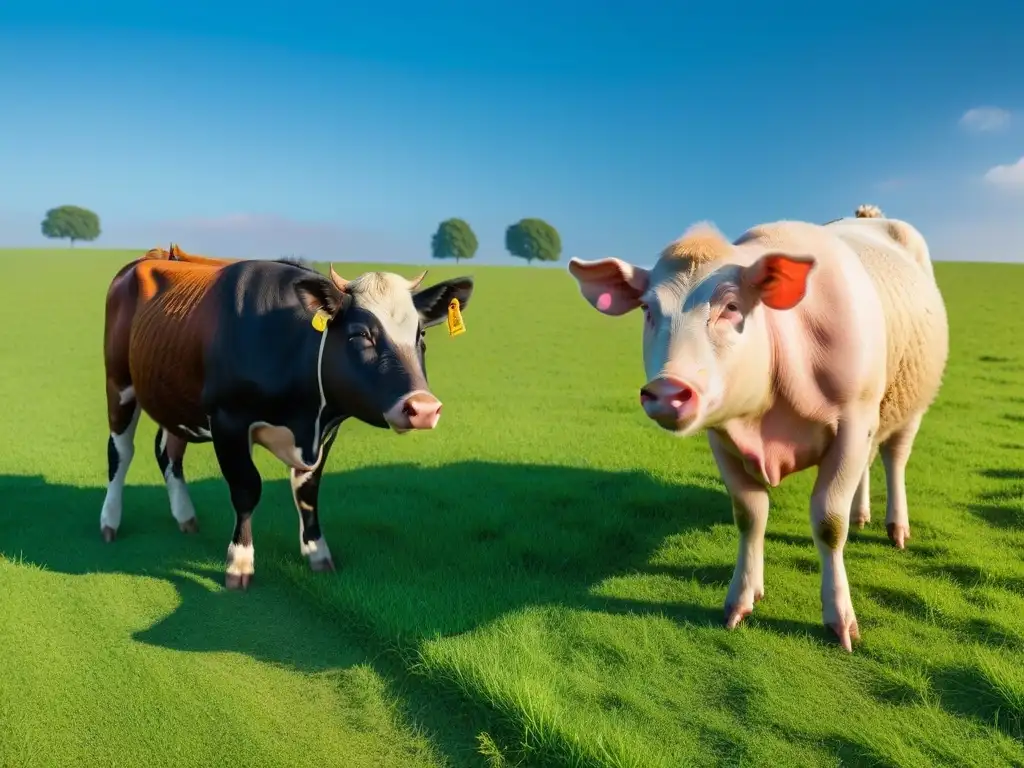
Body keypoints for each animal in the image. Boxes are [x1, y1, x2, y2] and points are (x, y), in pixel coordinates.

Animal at [99, 256, 475, 593]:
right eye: (360, 335)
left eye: (421, 336)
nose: (423, 407)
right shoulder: (228, 420)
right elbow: (247, 488)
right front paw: (240, 563)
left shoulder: (325, 430)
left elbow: (308, 491)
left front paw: (318, 553)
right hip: (119, 384)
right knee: (121, 452)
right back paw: (110, 521)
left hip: (175, 398)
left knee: (168, 452)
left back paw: (185, 517)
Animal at [565, 204, 946, 651]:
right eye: (647, 310)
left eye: (731, 307)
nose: (666, 391)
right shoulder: (722, 436)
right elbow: (750, 514)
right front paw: (742, 599)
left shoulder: (853, 421)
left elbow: (828, 522)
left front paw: (840, 621)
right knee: (869, 463)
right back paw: (862, 514)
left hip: (911, 397)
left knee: (894, 458)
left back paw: (895, 528)